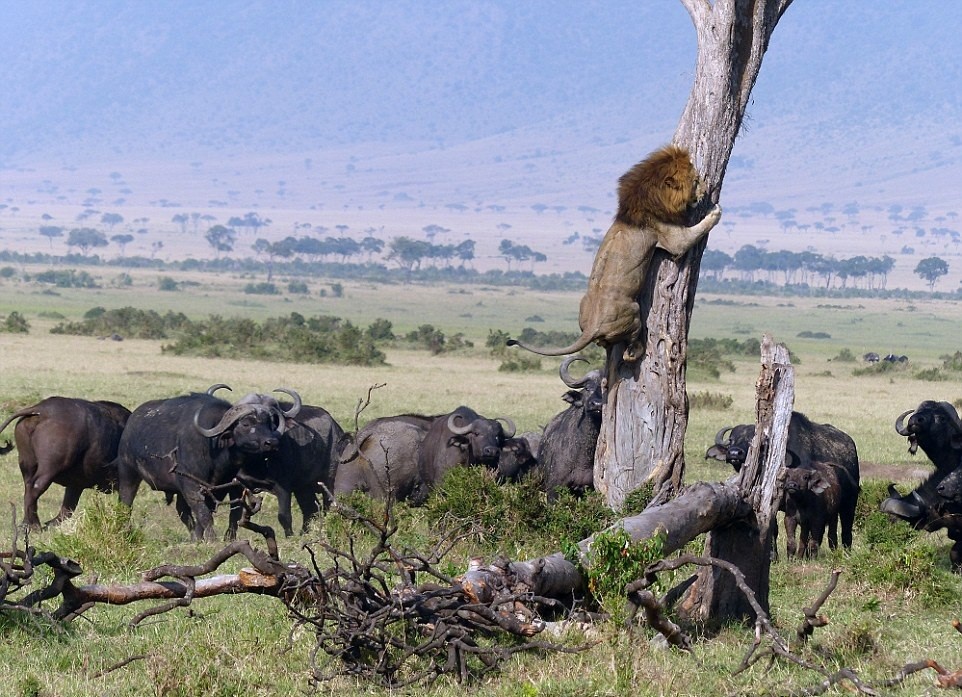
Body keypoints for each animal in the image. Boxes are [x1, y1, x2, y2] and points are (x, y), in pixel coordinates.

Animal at [0, 396, 131, 528]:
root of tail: (41, 409)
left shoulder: (76, 485)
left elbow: (67, 508)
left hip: (27, 464)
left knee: (29, 488)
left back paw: (27, 524)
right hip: (49, 468)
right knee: (34, 488)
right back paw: (35, 525)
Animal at [116, 388, 298, 540]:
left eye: (270, 423)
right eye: (246, 424)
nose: (272, 442)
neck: (216, 450)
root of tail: (131, 421)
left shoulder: (224, 487)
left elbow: (214, 513)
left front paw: (205, 538)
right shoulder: (190, 485)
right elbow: (204, 514)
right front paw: (211, 539)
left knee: (183, 512)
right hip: (128, 474)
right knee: (125, 504)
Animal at [506, 147, 716, 364]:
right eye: (695, 181)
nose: (705, 189)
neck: (650, 197)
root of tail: (591, 327)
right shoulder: (671, 237)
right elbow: (696, 231)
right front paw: (715, 210)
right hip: (632, 310)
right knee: (629, 347)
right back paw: (637, 350)